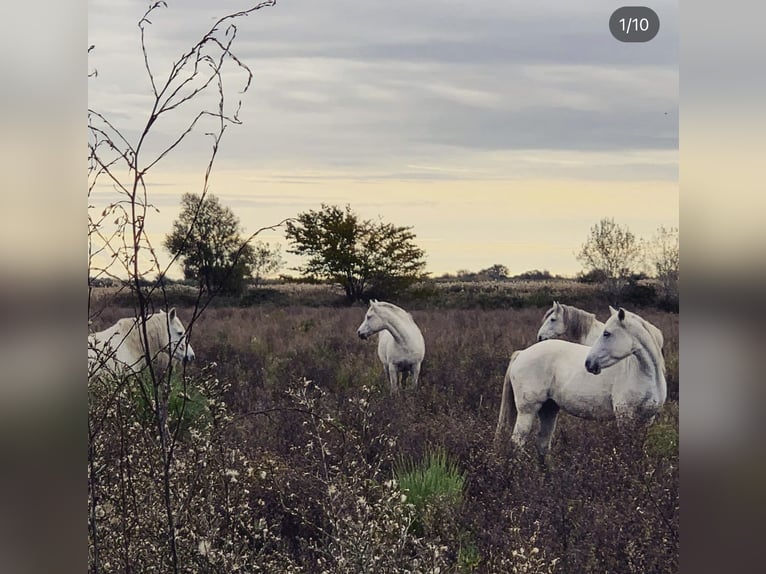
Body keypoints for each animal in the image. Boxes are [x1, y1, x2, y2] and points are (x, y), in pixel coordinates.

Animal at [498, 308, 664, 462]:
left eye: (606, 333)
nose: (589, 363)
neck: (646, 374)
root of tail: (521, 353)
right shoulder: (625, 418)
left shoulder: (648, 419)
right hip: (527, 411)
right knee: (518, 442)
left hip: (549, 409)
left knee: (542, 444)